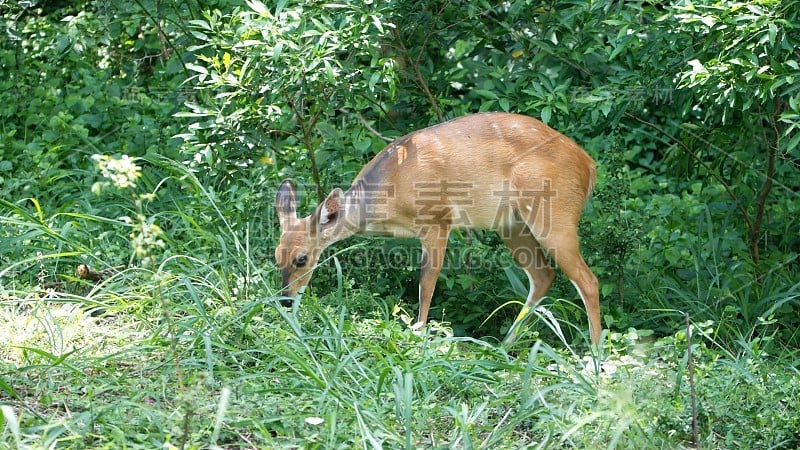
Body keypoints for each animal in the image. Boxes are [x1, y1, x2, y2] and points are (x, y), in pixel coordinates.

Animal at [276, 112, 600, 344]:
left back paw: (593, 359)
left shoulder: (437, 220)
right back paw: (504, 347)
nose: (285, 300)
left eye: (302, 258)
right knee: (543, 274)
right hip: (511, 224)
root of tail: (588, 165)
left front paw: (417, 335)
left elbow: (427, 283)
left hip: (553, 215)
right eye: (277, 256)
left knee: (588, 280)